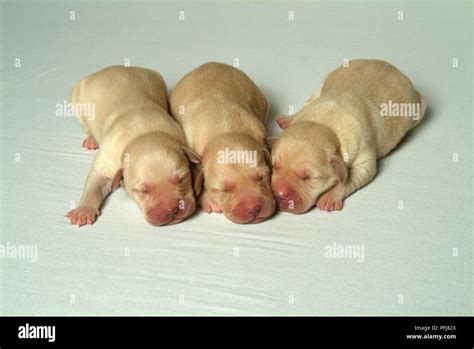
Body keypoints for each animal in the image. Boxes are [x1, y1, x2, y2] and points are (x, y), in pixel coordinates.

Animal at [65, 65, 197, 226]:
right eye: (143, 191)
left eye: (182, 179)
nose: (172, 210)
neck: (144, 132)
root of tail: (110, 68)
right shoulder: (108, 158)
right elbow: (94, 183)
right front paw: (83, 210)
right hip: (77, 99)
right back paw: (91, 139)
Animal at [169, 61, 274, 223]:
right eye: (223, 190)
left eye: (262, 177)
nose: (254, 208)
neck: (226, 130)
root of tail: (212, 63)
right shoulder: (190, 149)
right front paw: (208, 200)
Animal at [272, 59, 428, 212]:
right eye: (274, 166)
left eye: (309, 177)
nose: (278, 195)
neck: (325, 124)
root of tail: (396, 69)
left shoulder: (363, 161)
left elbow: (347, 181)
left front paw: (330, 197)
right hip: (321, 86)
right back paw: (288, 118)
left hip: (419, 110)